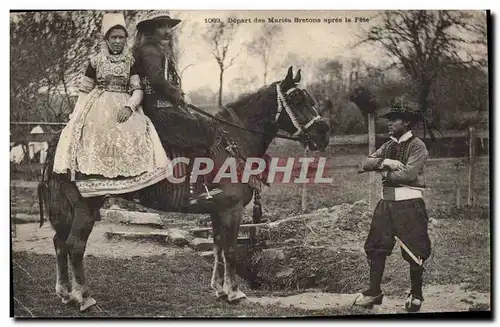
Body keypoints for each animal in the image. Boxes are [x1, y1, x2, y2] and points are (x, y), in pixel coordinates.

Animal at [37, 66, 330, 312]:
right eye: (297, 99)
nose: (324, 134)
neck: (232, 141)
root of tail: (61, 141)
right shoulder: (232, 210)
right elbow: (231, 249)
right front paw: (235, 292)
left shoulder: (217, 211)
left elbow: (218, 246)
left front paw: (219, 289)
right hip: (85, 208)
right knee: (75, 246)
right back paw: (83, 297)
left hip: (68, 209)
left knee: (60, 243)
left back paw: (65, 293)